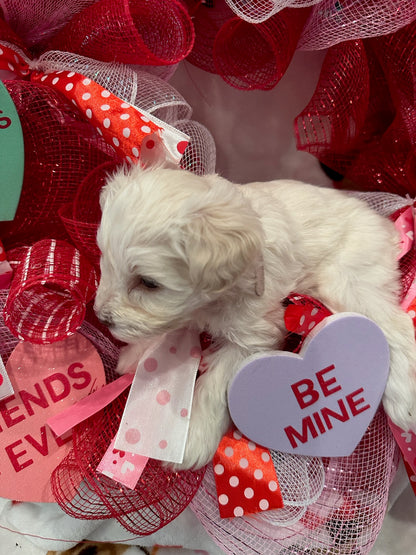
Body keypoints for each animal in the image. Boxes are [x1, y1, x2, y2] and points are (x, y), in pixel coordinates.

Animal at [96, 164, 416, 470]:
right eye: (105, 262)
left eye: (149, 283)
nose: (101, 317)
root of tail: (384, 225)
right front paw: (136, 354)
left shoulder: (254, 335)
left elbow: (216, 384)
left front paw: (192, 438)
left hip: (347, 279)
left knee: (394, 327)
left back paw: (405, 401)